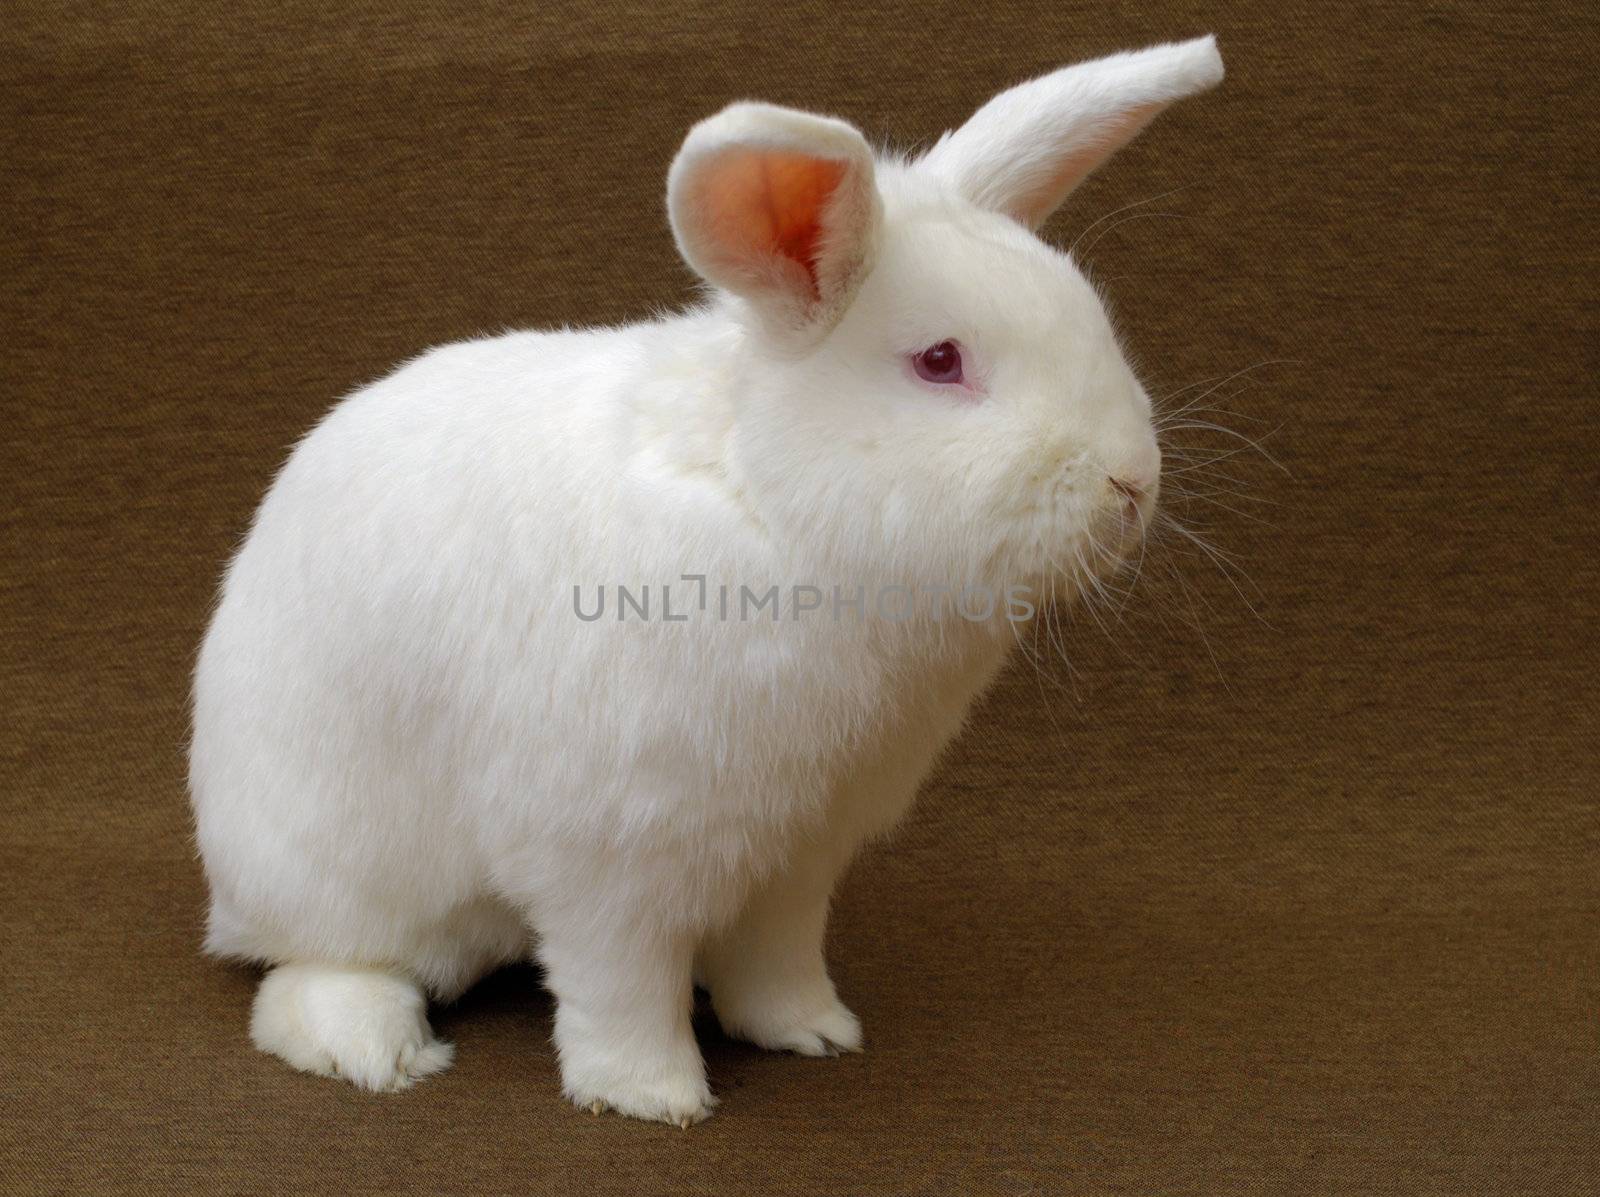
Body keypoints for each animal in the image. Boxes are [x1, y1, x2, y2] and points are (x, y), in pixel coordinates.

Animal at [193, 35, 1228, 1120]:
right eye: (940, 361)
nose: (1133, 481)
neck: (766, 504)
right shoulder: (610, 859)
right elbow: (620, 985)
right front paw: (654, 1096)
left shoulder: (797, 852)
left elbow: (777, 959)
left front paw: (813, 1033)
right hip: (336, 868)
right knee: (313, 970)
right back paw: (374, 1048)